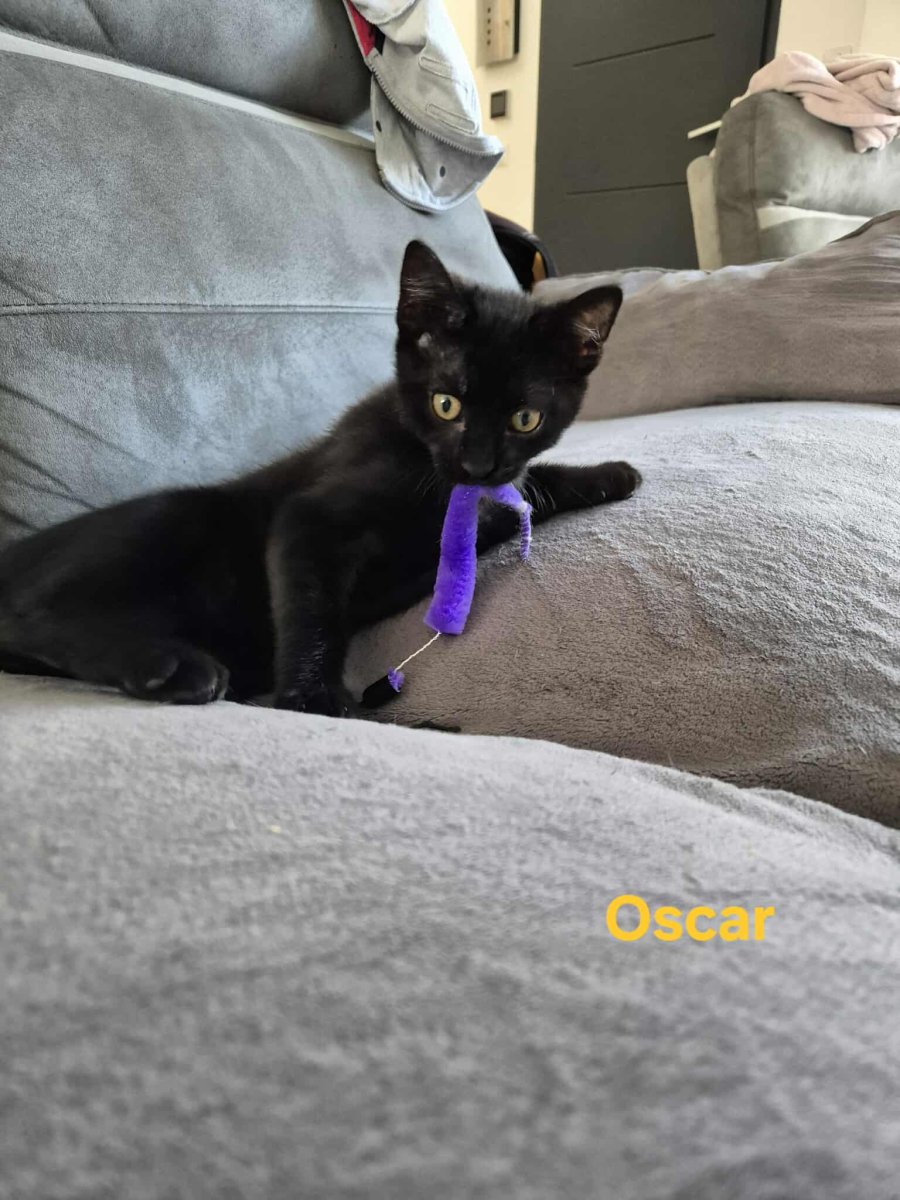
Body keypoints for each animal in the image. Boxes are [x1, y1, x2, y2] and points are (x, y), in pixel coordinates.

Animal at [0, 241, 640, 715]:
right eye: (447, 404)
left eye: (525, 418)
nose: (479, 465)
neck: (435, 478)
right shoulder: (312, 518)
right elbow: (312, 611)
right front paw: (313, 698)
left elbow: (526, 490)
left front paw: (610, 474)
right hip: (172, 517)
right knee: (29, 617)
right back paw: (170, 666)